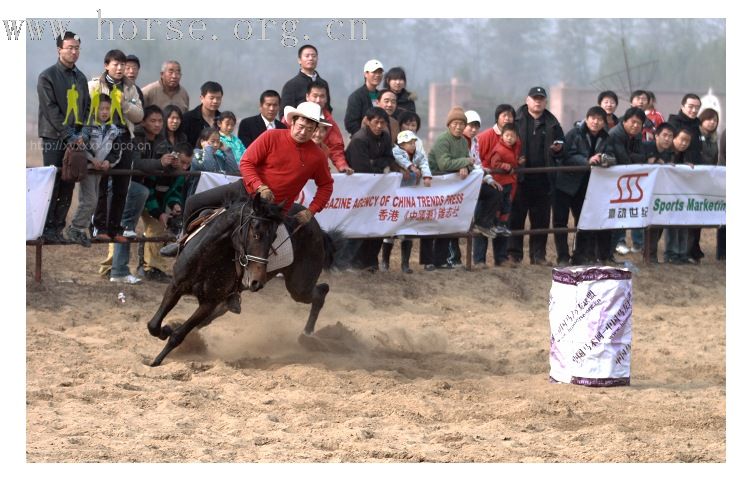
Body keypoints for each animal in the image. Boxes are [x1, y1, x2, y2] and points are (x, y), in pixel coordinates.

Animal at [145, 193, 338, 368]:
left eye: (275, 237)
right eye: (256, 233)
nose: (257, 281)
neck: (208, 257)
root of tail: (317, 228)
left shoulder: (208, 302)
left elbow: (178, 334)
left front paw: (158, 358)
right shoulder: (176, 286)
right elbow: (153, 325)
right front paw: (165, 331)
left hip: (299, 286)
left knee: (321, 291)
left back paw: (307, 335)